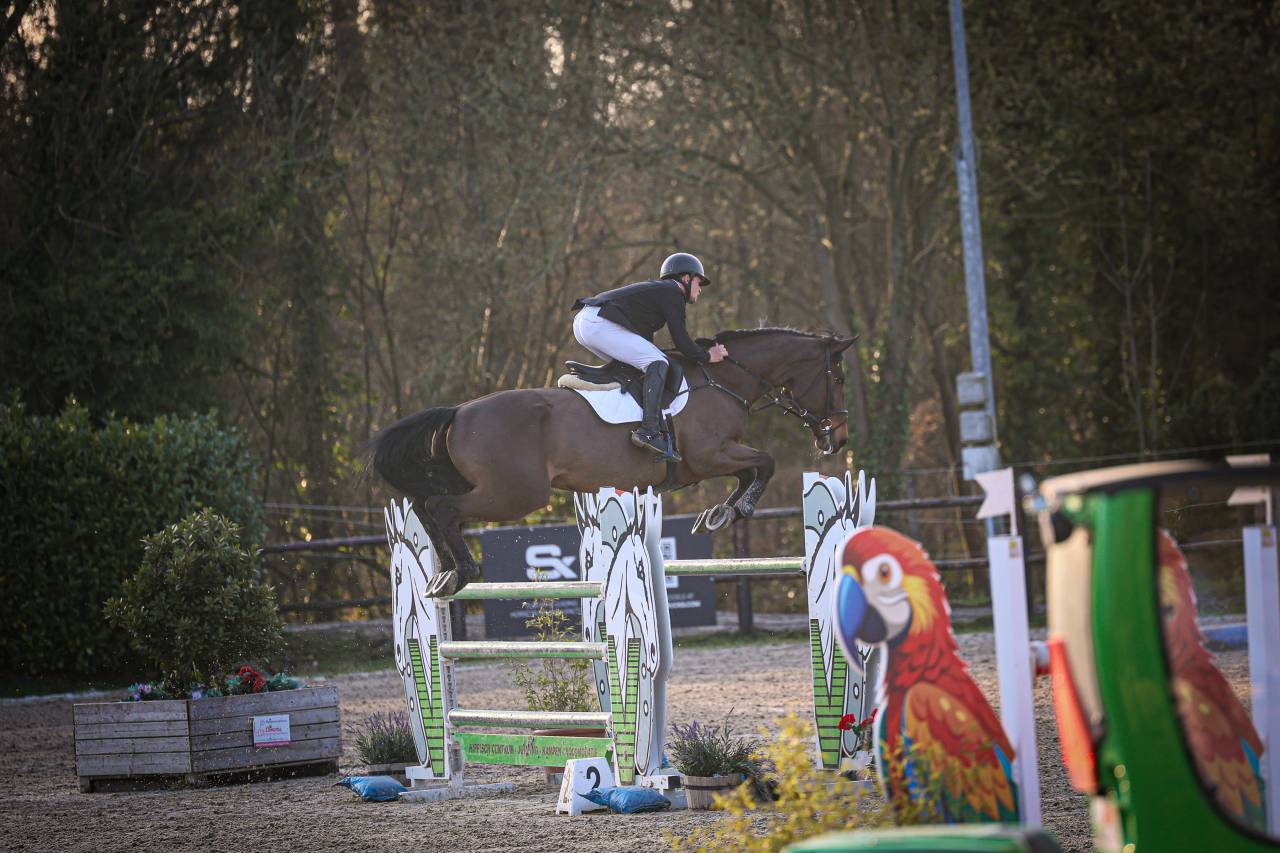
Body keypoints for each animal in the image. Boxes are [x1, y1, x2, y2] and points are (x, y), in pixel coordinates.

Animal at [367, 327, 856, 597]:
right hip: (516, 494)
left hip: (485, 486)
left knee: (426, 505)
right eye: (838, 377)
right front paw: (734, 511)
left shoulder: (708, 460)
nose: (839, 438)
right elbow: (765, 463)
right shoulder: (708, 455)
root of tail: (458, 413)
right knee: (441, 508)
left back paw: (445, 574)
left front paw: (719, 513)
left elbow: (751, 470)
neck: (724, 378)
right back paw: (461, 573)